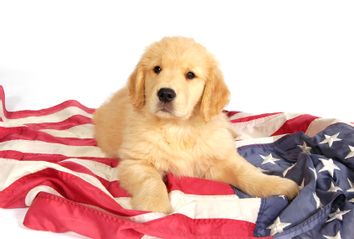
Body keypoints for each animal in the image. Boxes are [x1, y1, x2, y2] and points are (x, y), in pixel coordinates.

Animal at [94, 36, 298, 213]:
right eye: (157, 69)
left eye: (190, 75)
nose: (165, 93)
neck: (178, 128)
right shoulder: (136, 161)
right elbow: (151, 180)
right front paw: (155, 209)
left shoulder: (219, 159)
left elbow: (246, 172)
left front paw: (277, 185)